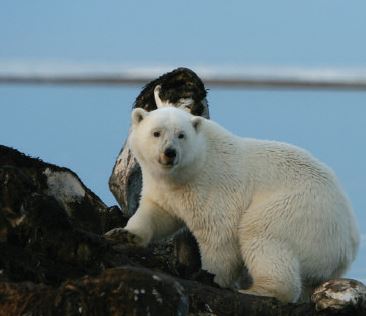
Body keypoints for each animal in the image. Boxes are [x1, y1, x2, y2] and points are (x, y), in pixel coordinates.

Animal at [106, 107, 360, 302]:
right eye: (156, 132)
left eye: (181, 135)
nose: (170, 153)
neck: (192, 168)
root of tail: (348, 245)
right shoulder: (165, 189)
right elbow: (156, 213)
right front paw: (123, 234)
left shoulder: (213, 185)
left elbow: (219, 235)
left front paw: (210, 276)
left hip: (299, 211)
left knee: (262, 233)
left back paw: (258, 289)